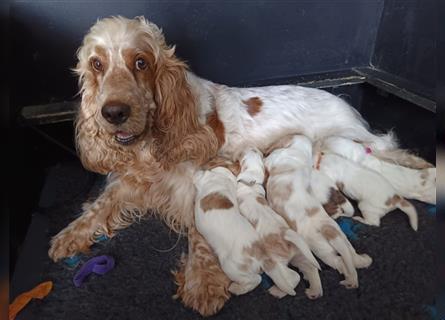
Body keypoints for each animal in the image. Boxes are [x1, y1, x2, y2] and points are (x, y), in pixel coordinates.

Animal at [193, 166, 296, 296]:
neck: (219, 183)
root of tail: (263, 257)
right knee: (293, 278)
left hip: (230, 267)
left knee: (256, 279)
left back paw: (236, 288)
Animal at [238, 149, 320, 298]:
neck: (251, 185)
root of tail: (285, 234)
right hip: (300, 253)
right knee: (310, 268)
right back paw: (314, 290)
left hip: (278, 262)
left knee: (293, 277)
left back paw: (277, 291)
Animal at [264, 135, 372, 290]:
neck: (299, 151)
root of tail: (328, 230)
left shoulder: (274, 158)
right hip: (341, 237)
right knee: (350, 254)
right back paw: (361, 262)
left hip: (322, 250)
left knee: (339, 262)